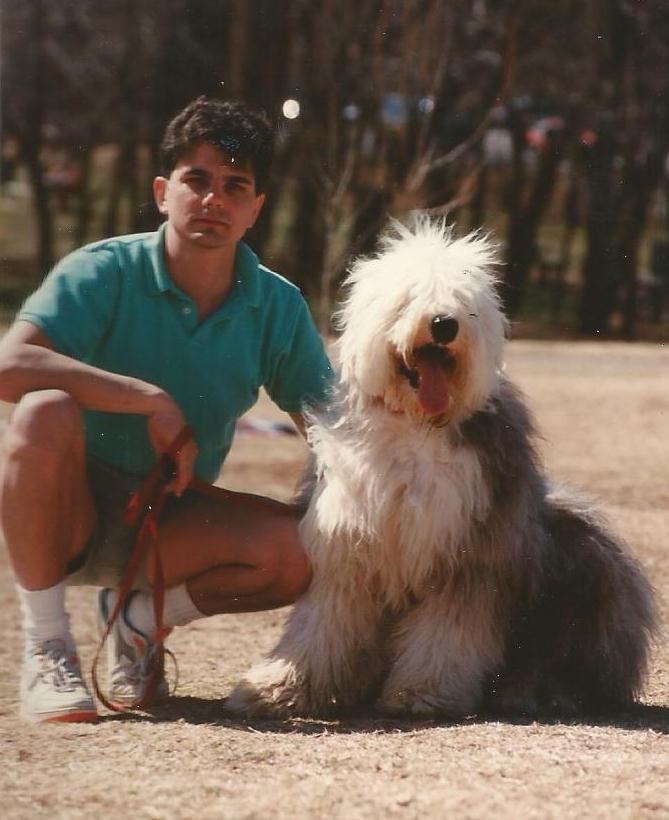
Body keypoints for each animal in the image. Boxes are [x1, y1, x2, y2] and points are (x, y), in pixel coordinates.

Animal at [227, 216, 656, 716]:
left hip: (587, 566)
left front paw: (422, 693)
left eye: (465, 307)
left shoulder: (467, 554)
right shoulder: (347, 544)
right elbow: (322, 624)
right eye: (409, 297)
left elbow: (447, 634)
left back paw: (539, 690)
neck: (417, 422)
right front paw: (280, 688)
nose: (443, 324)